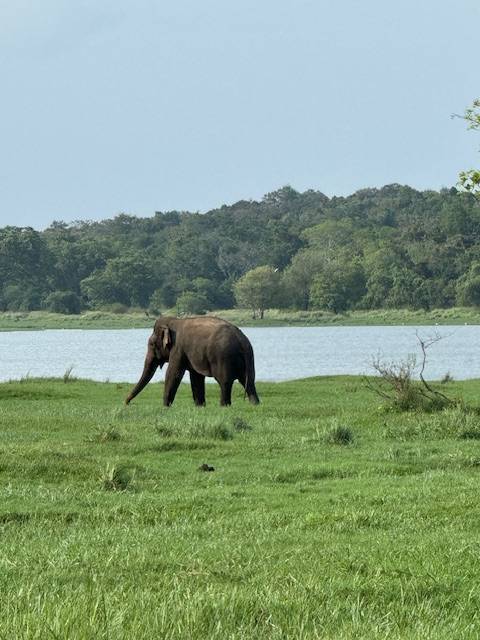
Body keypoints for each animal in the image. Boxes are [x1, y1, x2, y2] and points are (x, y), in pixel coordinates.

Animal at [124, 316, 258, 410]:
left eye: (151, 344)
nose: (127, 403)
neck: (174, 321)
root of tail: (241, 340)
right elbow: (196, 377)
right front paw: (200, 406)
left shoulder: (178, 349)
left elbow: (173, 374)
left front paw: (165, 407)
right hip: (249, 358)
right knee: (249, 381)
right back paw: (255, 404)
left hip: (223, 357)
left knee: (225, 382)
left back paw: (224, 406)